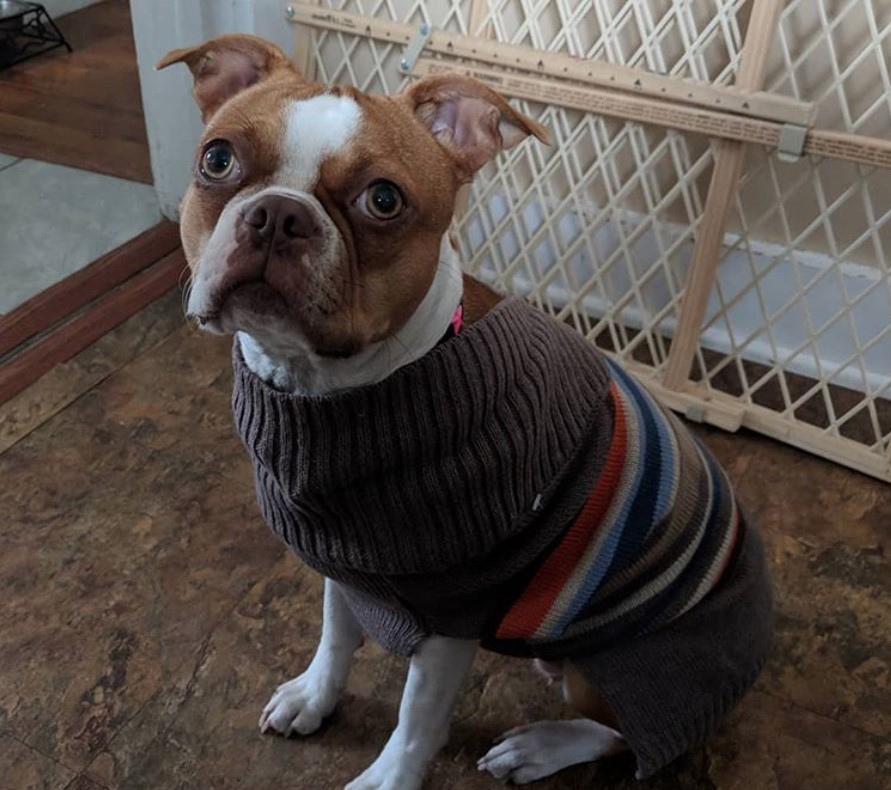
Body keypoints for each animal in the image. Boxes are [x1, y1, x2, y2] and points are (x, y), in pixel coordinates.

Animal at [159, 34, 772, 788]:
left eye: (383, 199)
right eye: (217, 160)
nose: (278, 214)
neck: (333, 388)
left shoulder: (455, 611)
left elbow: (418, 715)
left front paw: (389, 778)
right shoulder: (343, 565)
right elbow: (335, 635)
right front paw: (315, 696)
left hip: (611, 667)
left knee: (620, 735)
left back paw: (540, 747)